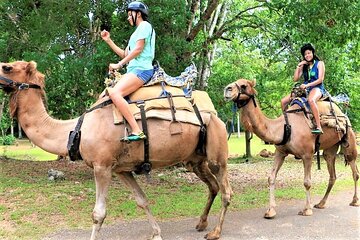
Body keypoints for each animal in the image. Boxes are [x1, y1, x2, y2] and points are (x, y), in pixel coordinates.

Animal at [0, 60, 233, 240]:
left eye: (7, 67)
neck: (77, 129)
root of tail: (216, 115)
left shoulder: (102, 166)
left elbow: (98, 213)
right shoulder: (121, 169)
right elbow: (142, 200)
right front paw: (156, 233)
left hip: (217, 151)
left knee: (225, 190)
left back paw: (215, 232)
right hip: (195, 159)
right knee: (212, 186)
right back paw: (201, 223)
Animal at [224, 79, 358, 219]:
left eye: (244, 85)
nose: (227, 89)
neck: (285, 127)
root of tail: (341, 112)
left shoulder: (307, 154)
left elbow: (307, 182)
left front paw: (307, 209)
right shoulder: (280, 152)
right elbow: (271, 178)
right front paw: (270, 211)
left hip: (349, 138)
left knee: (354, 170)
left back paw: (354, 201)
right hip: (331, 147)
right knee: (332, 173)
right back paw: (321, 203)